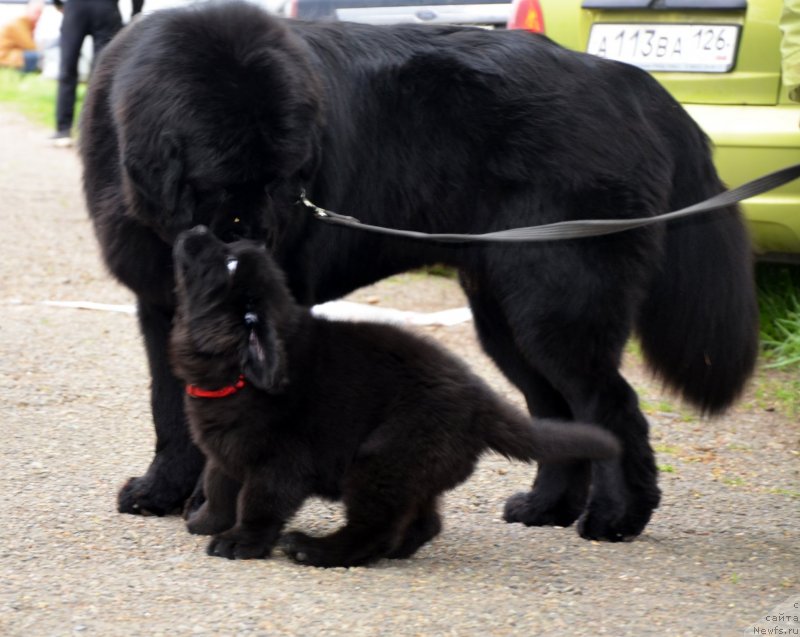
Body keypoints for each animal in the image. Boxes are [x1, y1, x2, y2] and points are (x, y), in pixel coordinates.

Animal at [169, 226, 620, 564]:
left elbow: (257, 502)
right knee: (423, 522)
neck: (234, 370)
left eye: (228, 263)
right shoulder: (225, 450)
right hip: (411, 470)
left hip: (382, 461)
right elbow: (220, 486)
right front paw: (206, 521)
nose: (198, 228)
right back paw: (395, 550)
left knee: (373, 527)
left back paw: (316, 550)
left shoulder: (281, 463)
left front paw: (240, 542)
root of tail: (481, 401)